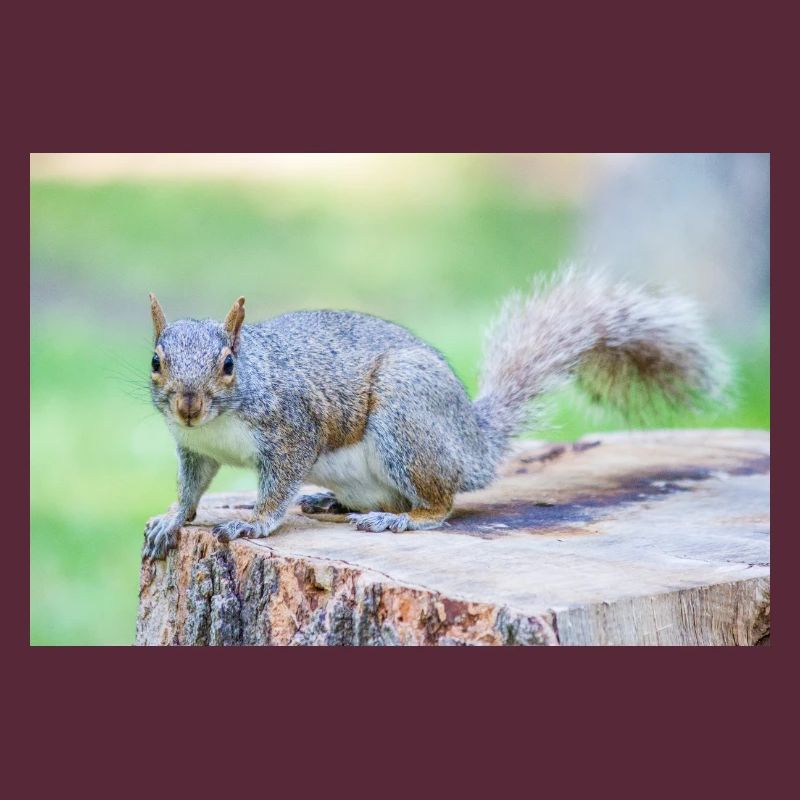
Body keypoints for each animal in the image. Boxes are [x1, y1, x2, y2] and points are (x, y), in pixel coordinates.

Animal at [143, 268, 729, 559]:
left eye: (228, 364)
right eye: (155, 361)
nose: (188, 405)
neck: (219, 423)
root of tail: (473, 444)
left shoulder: (293, 431)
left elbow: (277, 485)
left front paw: (254, 523)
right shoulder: (194, 449)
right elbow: (192, 490)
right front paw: (172, 520)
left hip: (406, 419)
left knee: (440, 504)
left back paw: (400, 518)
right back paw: (331, 502)